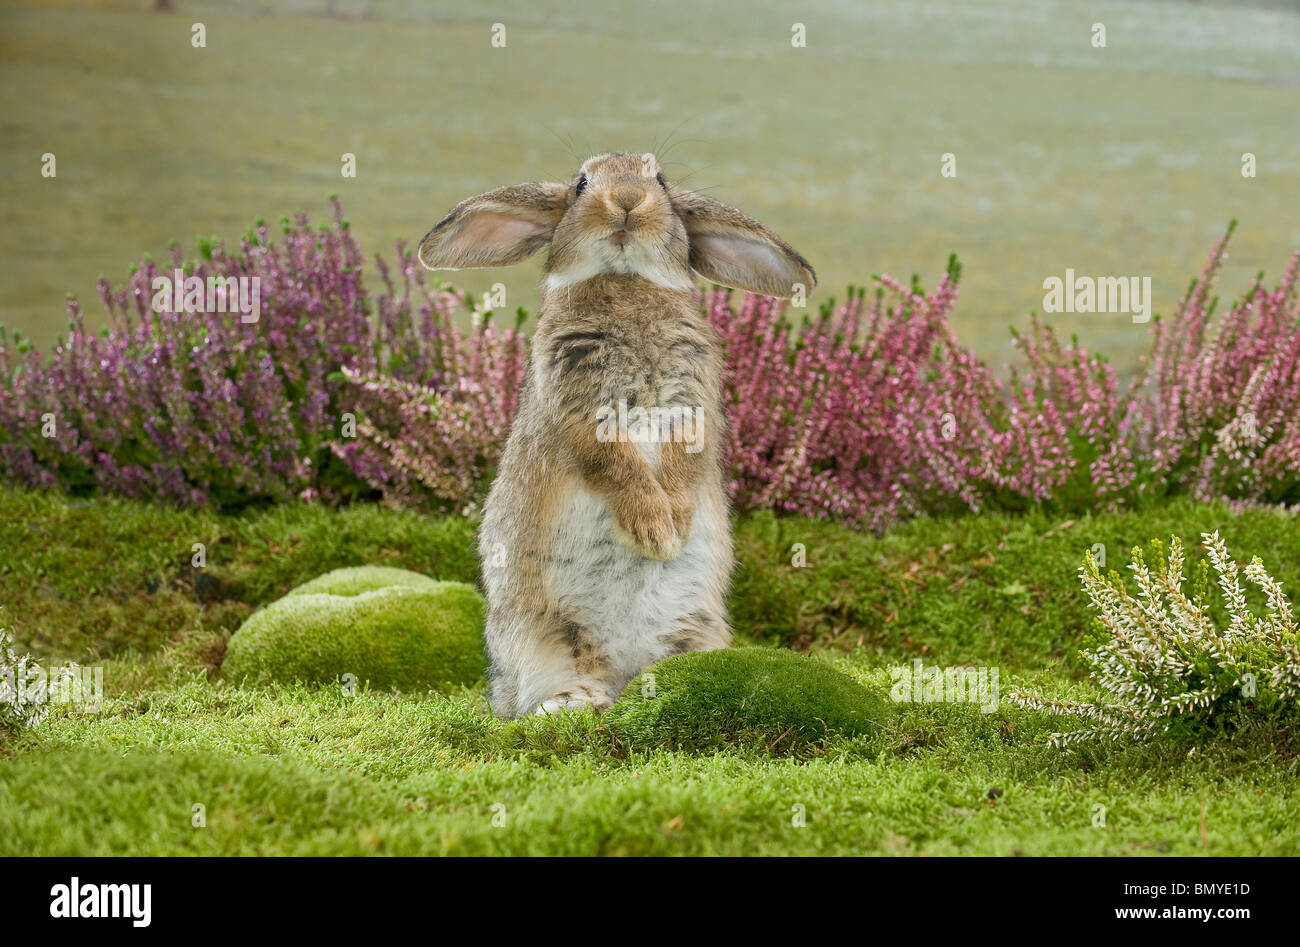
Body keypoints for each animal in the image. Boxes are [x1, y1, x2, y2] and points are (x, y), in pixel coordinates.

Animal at [418, 152, 815, 718]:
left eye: (661, 181)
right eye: (582, 183)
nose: (627, 199)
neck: (627, 281)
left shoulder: (692, 404)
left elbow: (681, 462)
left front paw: (672, 528)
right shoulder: (580, 406)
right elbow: (614, 465)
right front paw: (654, 531)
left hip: (699, 627)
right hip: (540, 636)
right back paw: (573, 704)